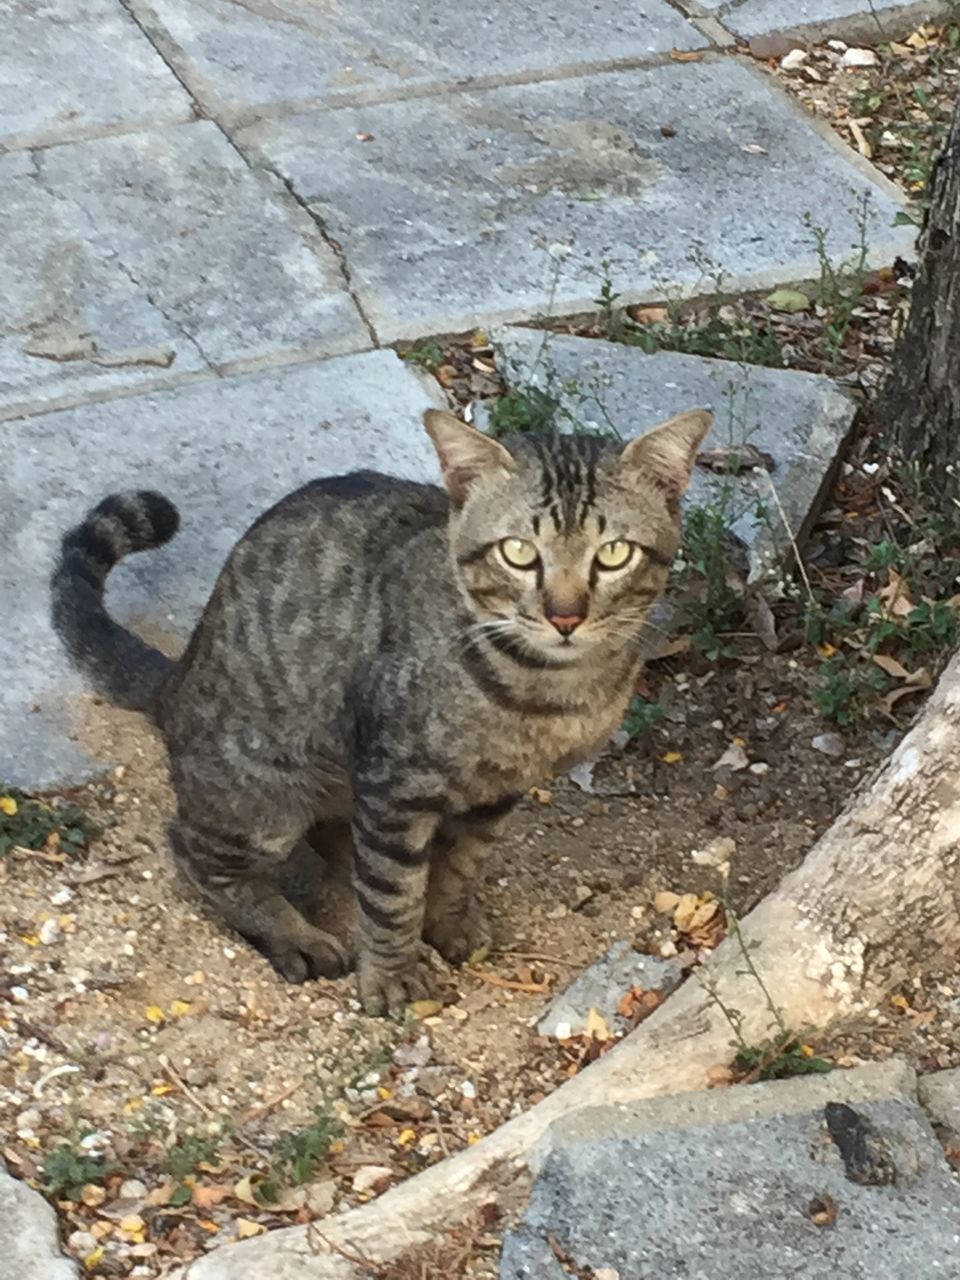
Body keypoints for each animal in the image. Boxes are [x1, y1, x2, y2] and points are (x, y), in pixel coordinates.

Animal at [52, 407, 716, 1008]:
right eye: (519, 553)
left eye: (615, 554)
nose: (565, 616)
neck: (543, 696)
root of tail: (178, 678)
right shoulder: (396, 784)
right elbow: (393, 894)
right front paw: (393, 975)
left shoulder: (495, 794)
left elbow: (461, 865)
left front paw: (448, 921)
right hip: (264, 796)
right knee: (193, 850)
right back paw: (292, 934)